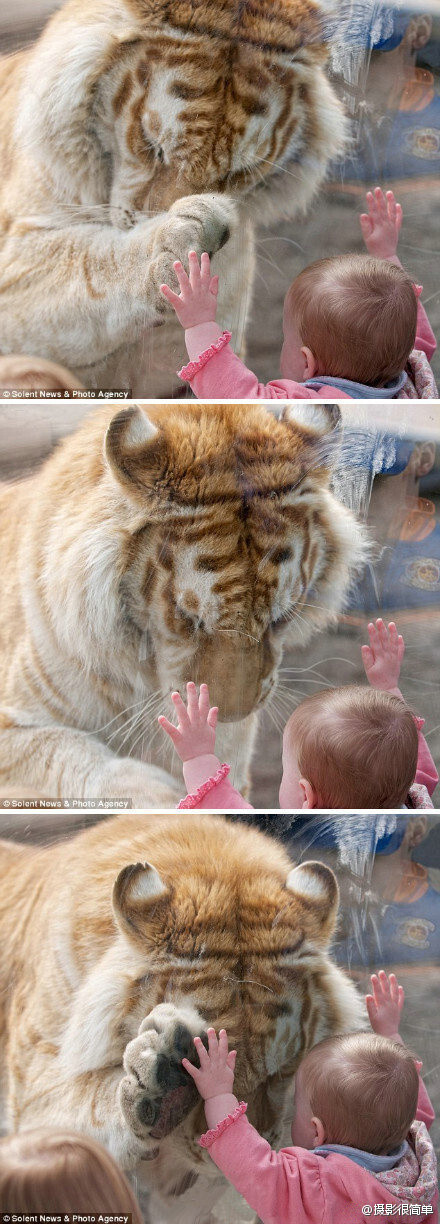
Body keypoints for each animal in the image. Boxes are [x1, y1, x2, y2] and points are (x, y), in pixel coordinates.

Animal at [0, 401, 367, 812]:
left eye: (281, 619)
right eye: (189, 619)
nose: (230, 715)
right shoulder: (13, 720)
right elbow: (64, 751)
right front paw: (153, 792)